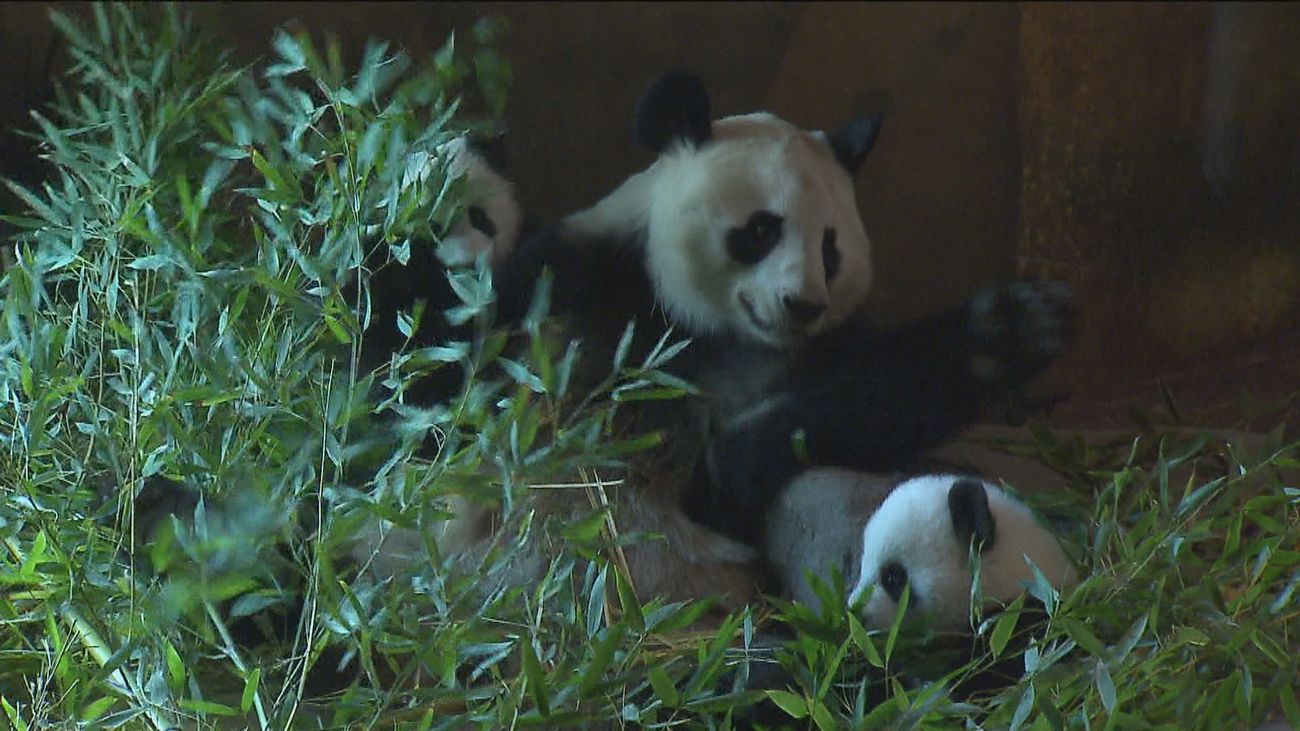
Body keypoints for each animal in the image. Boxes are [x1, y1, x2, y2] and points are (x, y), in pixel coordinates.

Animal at [358, 71, 1076, 619]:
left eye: (831, 248)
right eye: (761, 229)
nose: (802, 303)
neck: (713, 328)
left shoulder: (813, 352)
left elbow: (858, 400)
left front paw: (1009, 329)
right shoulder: (577, 285)